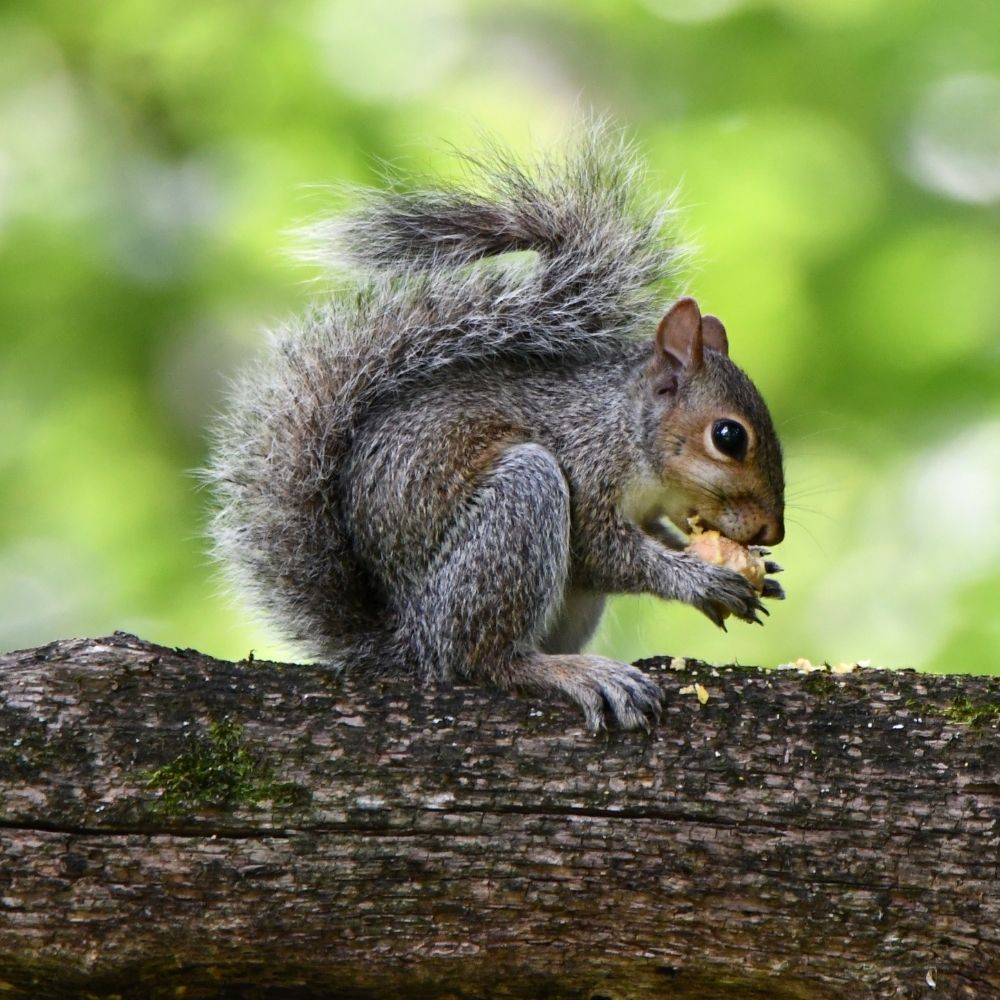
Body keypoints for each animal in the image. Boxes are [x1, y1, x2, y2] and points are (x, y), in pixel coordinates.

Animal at [205, 124, 786, 732]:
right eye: (728, 437)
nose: (772, 531)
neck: (624, 430)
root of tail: (411, 640)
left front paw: (757, 569)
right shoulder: (586, 463)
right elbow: (604, 554)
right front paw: (702, 579)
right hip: (517, 511)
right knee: (482, 659)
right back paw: (568, 672)